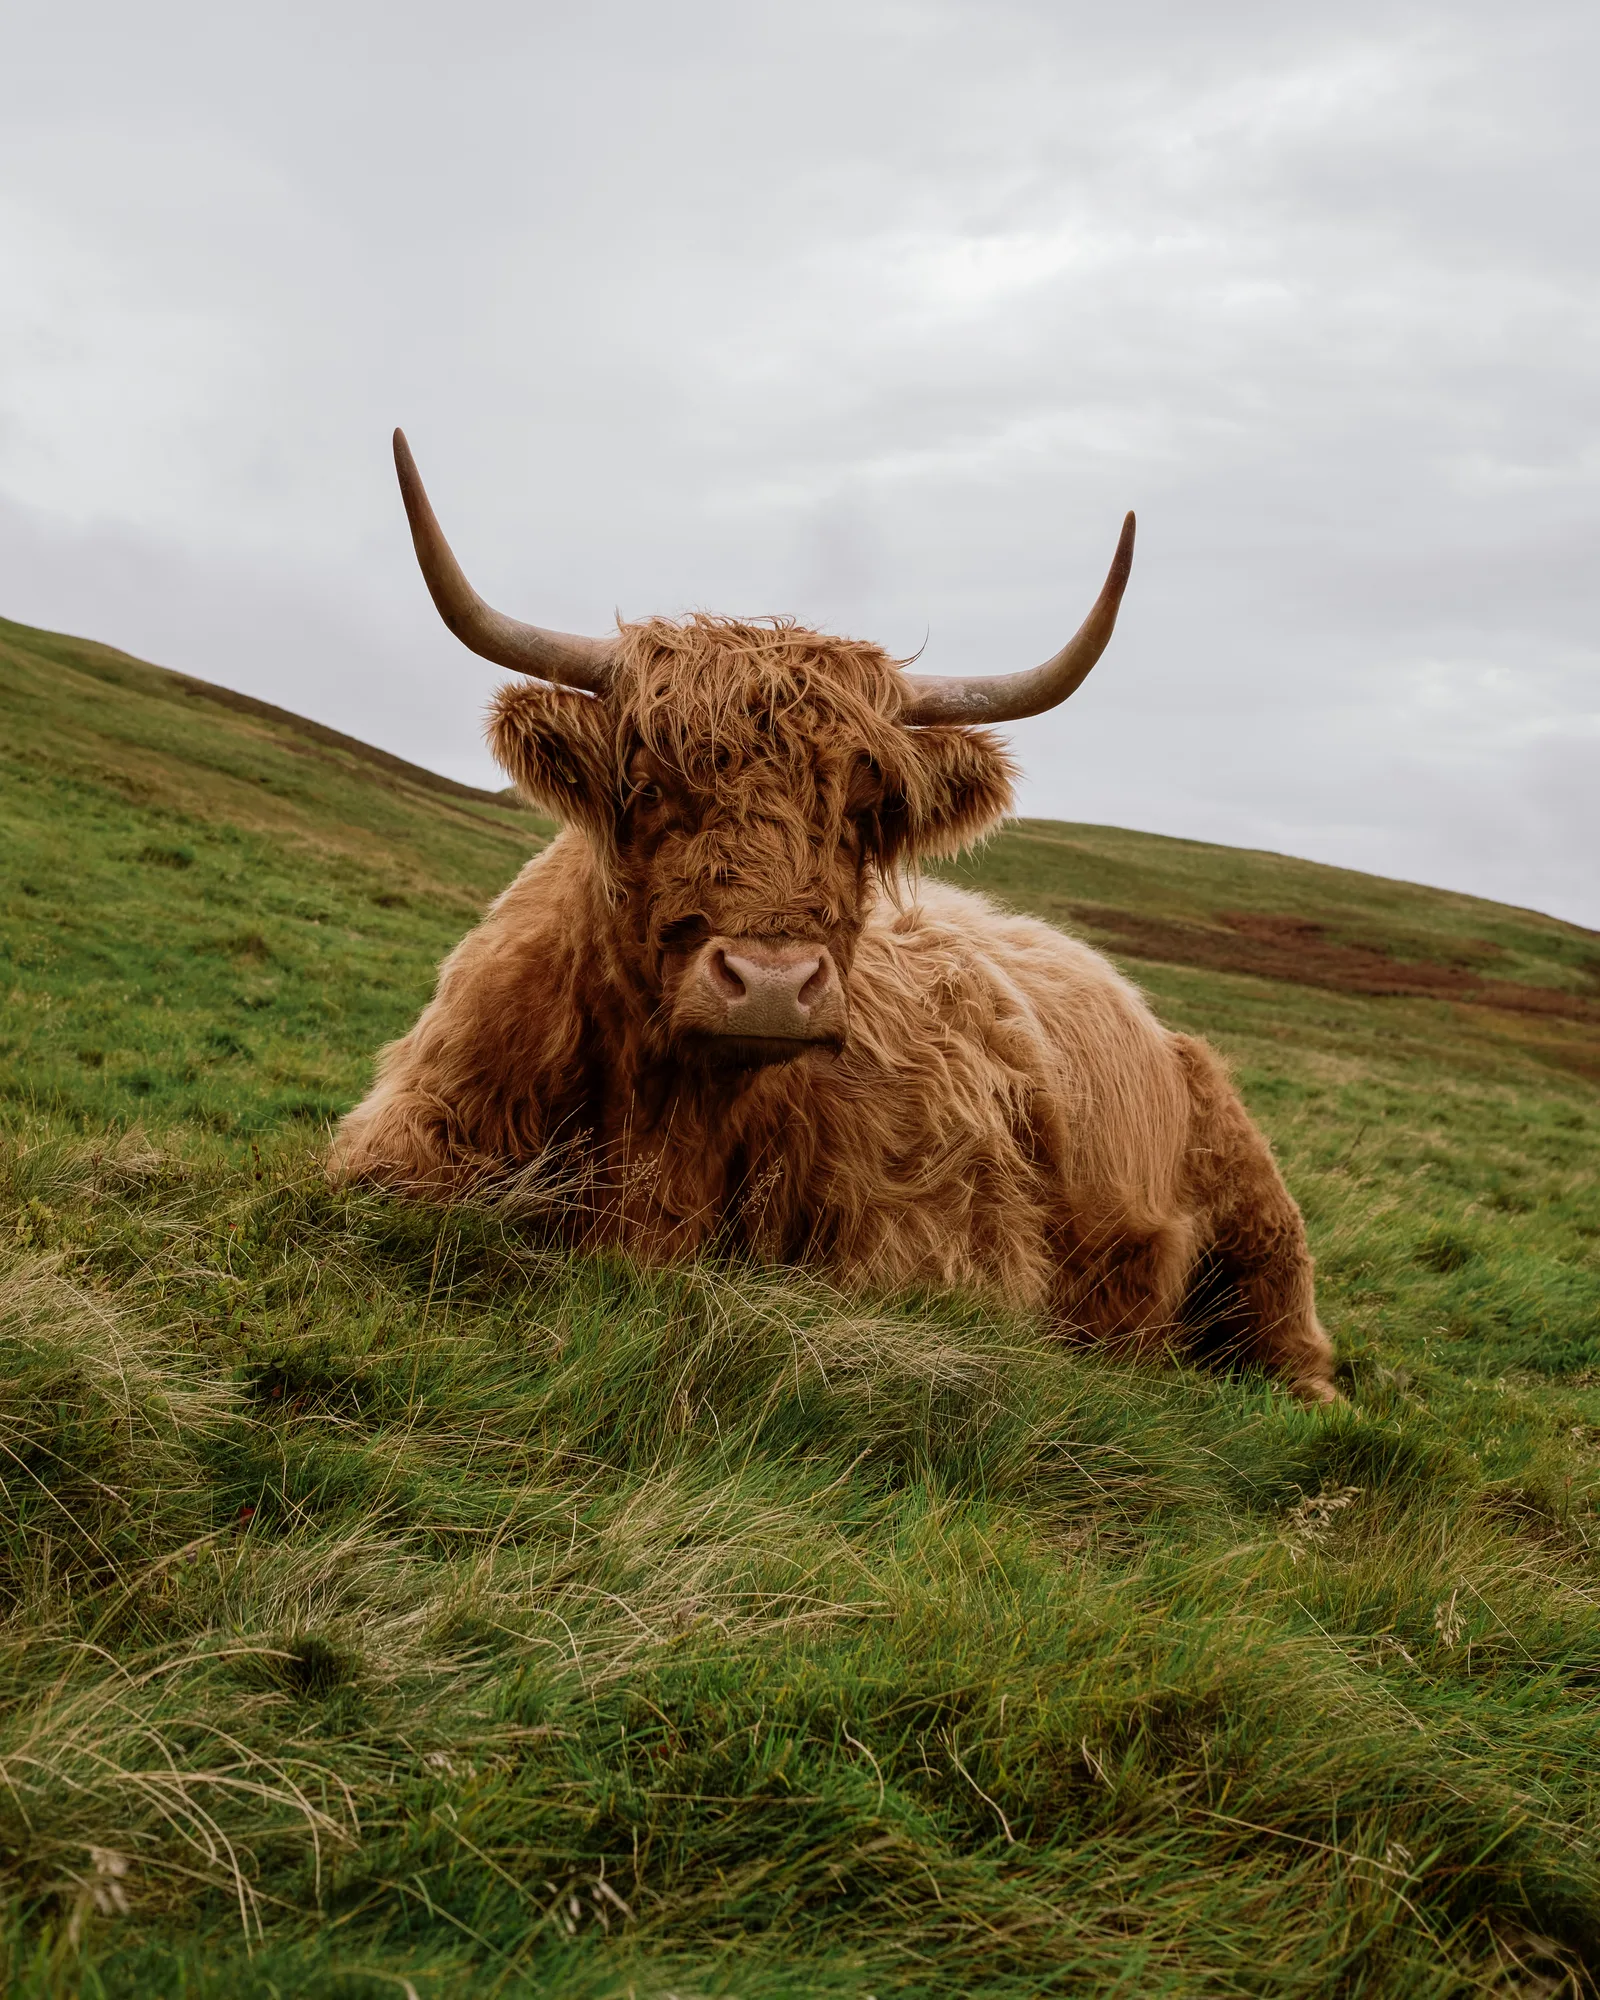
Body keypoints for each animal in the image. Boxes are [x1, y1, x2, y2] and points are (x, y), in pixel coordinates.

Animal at [333, 430, 1337, 1404]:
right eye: (650, 787)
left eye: (862, 810)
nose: (774, 985)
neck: (670, 1125)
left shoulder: (940, 1249)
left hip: (1259, 1217)